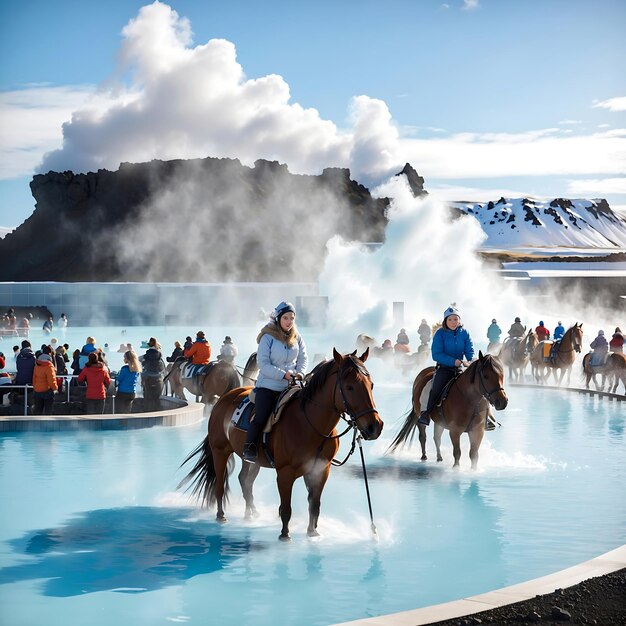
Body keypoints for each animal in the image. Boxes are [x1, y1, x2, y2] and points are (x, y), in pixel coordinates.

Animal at [176, 348, 380, 540]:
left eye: (371, 384)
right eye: (350, 387)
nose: (375, 427)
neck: (309, 424)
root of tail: (224, 398)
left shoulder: (320, 470)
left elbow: (314, 505)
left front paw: (312, 532)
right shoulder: (285, 473)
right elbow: (286, 507)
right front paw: (285, 535)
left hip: (251, 458)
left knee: (245, 480)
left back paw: (250, 513)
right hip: (220, 451)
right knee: (220, 484)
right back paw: (221, 515)